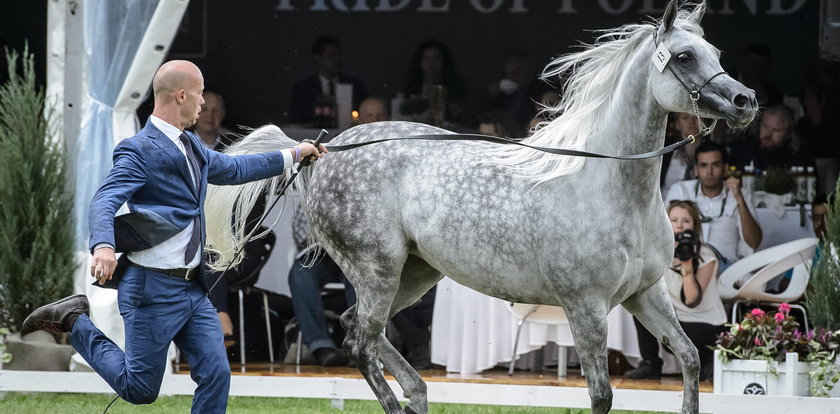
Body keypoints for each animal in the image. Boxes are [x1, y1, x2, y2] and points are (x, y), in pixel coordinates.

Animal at [207, 1, 756, 412]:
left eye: (714, 52)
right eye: (683, 57)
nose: (745, 101)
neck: (609, 185)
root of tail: (319, 153)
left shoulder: (645, 293)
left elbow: (689, 358)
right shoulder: (586, 305)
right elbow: (601, 394)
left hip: (414, 274)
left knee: (355, 329)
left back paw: (418, 395)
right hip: (376, 268)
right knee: (359, 343)